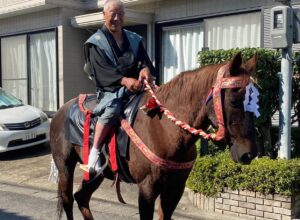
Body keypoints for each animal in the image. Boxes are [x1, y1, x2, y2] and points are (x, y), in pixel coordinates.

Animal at [49, 52, 258, 220]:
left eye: (256, 100)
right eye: (234, 99)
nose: (248, 153)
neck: (165, 129)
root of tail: (60, 110)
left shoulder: (175, 188)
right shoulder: (147, 189)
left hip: (97, 173)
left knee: (81, 197)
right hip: (65, 166)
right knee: (68, 200)